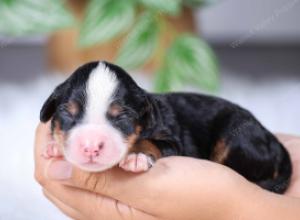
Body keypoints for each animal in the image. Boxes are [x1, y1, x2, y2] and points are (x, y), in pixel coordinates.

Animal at [39, 60, 290, 192]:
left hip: (236, 138)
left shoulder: (172, 140)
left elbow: (149, 142)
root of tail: (272, 139)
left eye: (122, 117)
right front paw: (55, 146)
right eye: (67, 113)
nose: (90, 146)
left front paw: (137, 156)